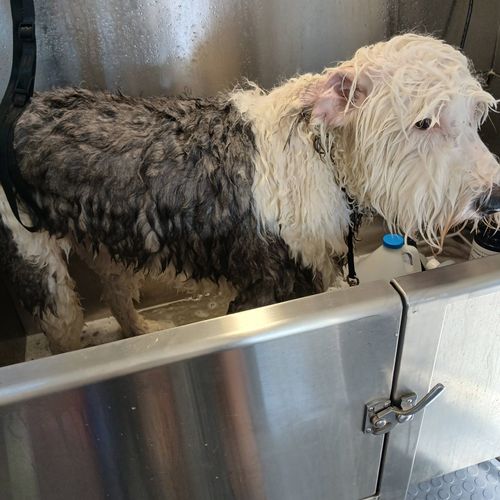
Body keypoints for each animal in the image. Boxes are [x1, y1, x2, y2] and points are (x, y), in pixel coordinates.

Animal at [1, 34, 498, 352]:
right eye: (424, 122)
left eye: (475, 114)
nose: (492, 199)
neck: (321, 157)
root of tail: (20, 109)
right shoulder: (269, 283)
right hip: (33, 255)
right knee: (63, 318)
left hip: (107, 235)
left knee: (117, 286)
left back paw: (140, 327)